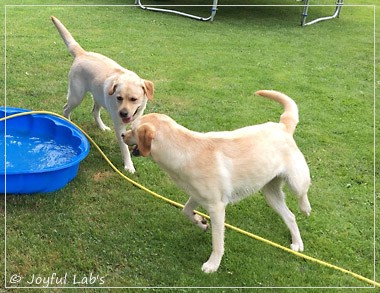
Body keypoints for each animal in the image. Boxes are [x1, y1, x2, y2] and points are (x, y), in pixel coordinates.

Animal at [51, 16, 154, 173]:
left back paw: (102, 127)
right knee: (66, 109)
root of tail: (82, 53)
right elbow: (124, 148)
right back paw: (69, 122)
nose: (123, 113)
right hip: (76, 96)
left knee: (94, 112)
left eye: (133, 99)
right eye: (119, 98)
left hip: (98, 96)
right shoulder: (119, 127)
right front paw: (128, 165)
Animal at [123, 90, 310, 272]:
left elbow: (218, 243)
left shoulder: (217, 208)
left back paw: (305, 209)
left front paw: (212, 265)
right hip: (270, 194)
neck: (184, 150)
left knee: (303, 194)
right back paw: (297, 243)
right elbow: (185, 211)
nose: (122, 134)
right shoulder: (197, 196)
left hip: (296, 181)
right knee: (291, 216)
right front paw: (200, 222)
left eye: (133, 129)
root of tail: (283, 125)